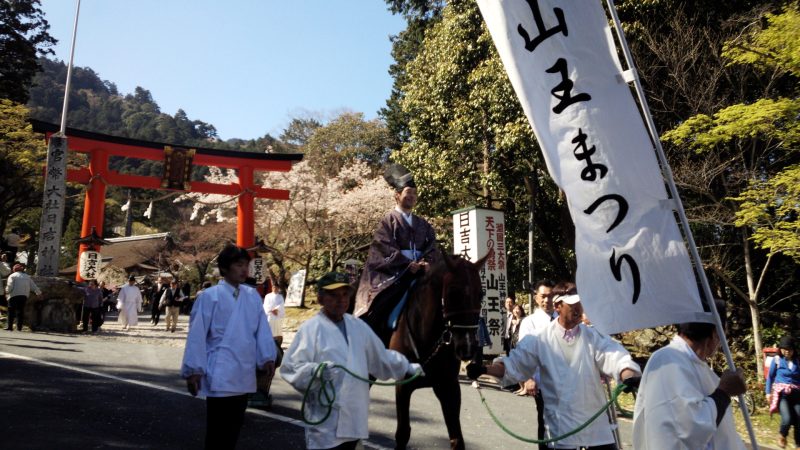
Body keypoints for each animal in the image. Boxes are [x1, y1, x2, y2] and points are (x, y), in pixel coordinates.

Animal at [380, 253, 488, 450]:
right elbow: (402, 434)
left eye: (480, 294)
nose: (468, 347)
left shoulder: (448, 385)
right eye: (452, 293)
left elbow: (457, 439)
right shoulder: (403, 384)